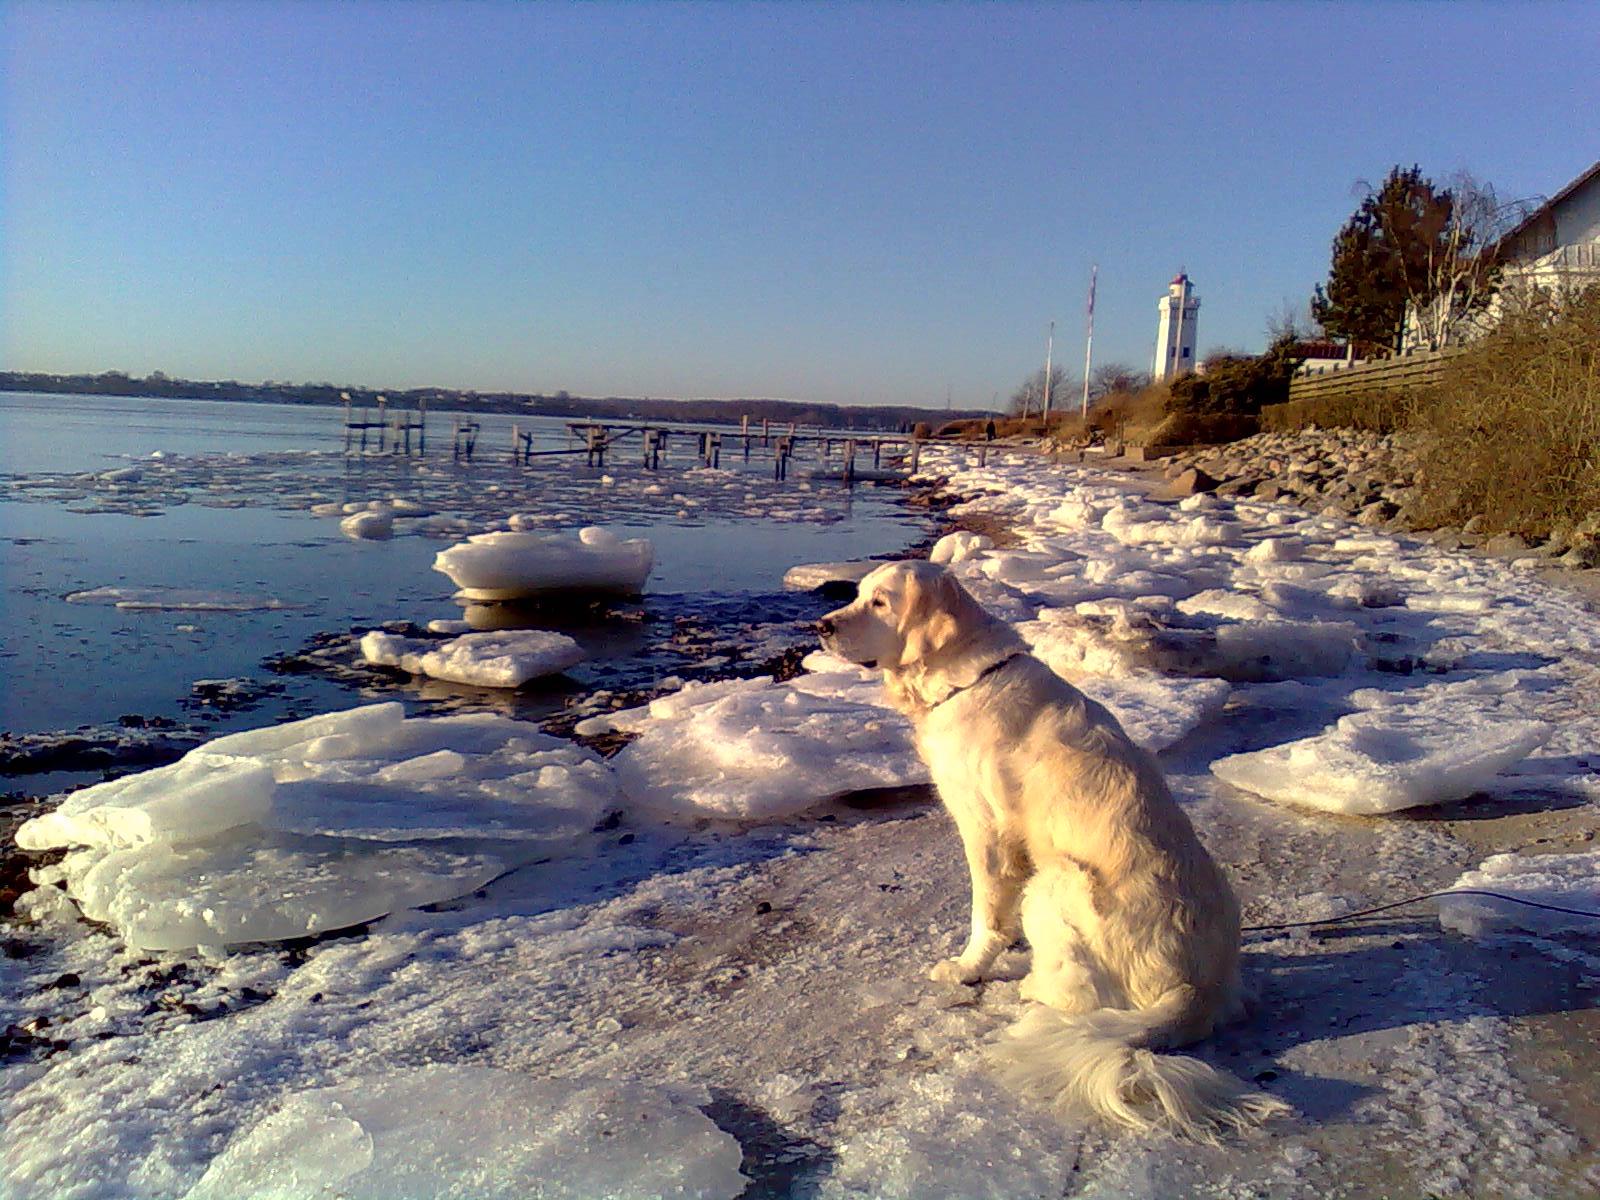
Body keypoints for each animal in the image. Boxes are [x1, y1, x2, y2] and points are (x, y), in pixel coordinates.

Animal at [825, 563, 1286, 1145]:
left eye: (881, 603)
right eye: (859, 594)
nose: (821, 627)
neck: (966, 678)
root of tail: (1193, 990)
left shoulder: (985, 828)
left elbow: (986, 915)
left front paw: (967, 968)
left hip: (1057, 881)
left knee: (1077, 998)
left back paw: (1033, 987)